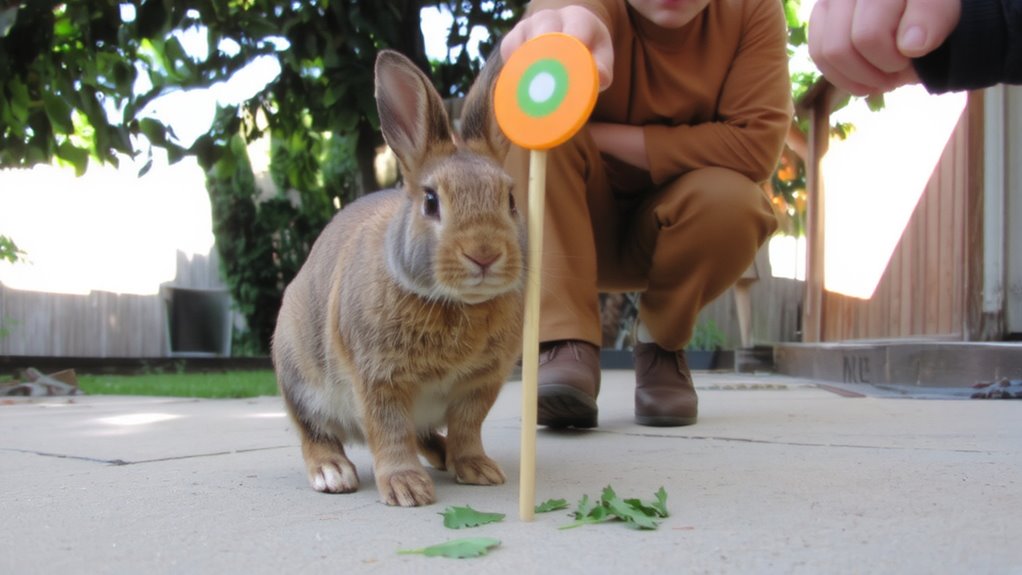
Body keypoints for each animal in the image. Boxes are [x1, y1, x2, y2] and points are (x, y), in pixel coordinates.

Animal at [271, 49, 523, 507]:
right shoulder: (379, 381)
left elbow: (468, 428)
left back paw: (445, 457)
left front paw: (478, 469)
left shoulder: (479, 386)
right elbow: (389, 432)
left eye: (510, 199)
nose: (484, 253)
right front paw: (407, 489)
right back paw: (333, 473)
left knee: (426, 435)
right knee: (315, 433)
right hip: (298, 377)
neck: (455, 303)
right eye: (430, 201)